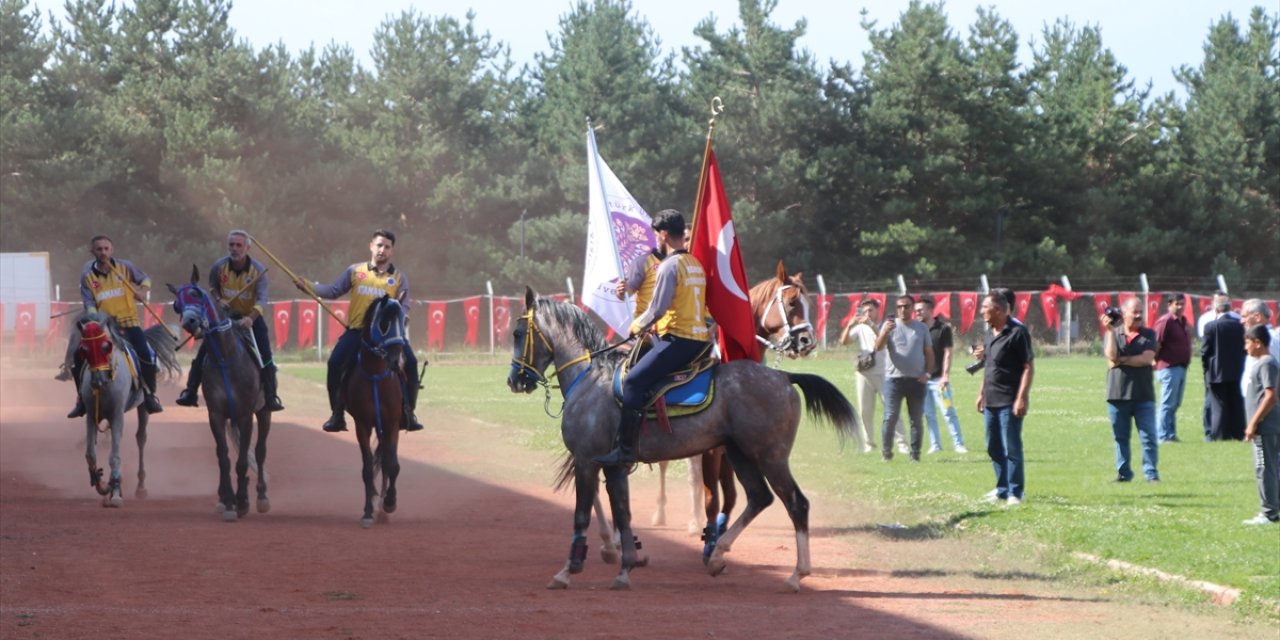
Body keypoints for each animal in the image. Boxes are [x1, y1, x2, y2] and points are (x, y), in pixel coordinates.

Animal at [72, 313, 179, 504]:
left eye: (106, 346)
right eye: (84, 350)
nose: (98, 380)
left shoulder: (117, 415)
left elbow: (114, 456)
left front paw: (114, 491)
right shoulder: (91, 415)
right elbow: (90, 454)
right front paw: (100, 483)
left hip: (143, 406)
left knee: (141, 438)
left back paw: (141, 487)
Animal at [168, 267, 271, 522]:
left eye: (196, 293)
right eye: (176, 304)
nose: (190, 322)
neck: (226, 358)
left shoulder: (245, 415)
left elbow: (243, 460)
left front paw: (242, 502)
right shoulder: (216, 414)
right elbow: (223, 457)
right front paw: (229, 502)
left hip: (264, 412)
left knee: (260, 451)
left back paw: (261, 497)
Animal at [504, 288, 855, 591]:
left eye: (518, 334)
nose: (514, 380)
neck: (591, 378)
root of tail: (784, 377)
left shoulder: (586, 460)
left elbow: (581, 514)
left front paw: (569, 570)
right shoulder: (613, 467)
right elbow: (622, 513)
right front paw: (625, 566)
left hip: (770, 456)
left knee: (796, 503)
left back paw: (796, 574)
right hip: (740, 454)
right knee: (759, 497)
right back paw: (717, 555)